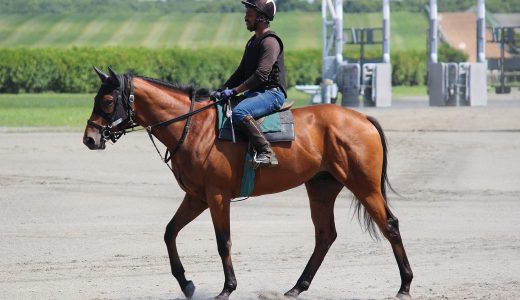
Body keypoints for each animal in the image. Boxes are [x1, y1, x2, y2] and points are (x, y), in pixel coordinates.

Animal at [82, 68, 414, 300]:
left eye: (108, 100)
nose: (90, 138)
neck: (194, 127)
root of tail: (362, 119)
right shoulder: (196, 198)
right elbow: (169, 233)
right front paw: (186, 283)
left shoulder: (216, 197)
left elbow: (223, 241)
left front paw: (228, 287)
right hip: (321, 189)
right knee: (325, 235)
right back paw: (298, 286)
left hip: (364, 186)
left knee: (390, 225)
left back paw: (405, 285)